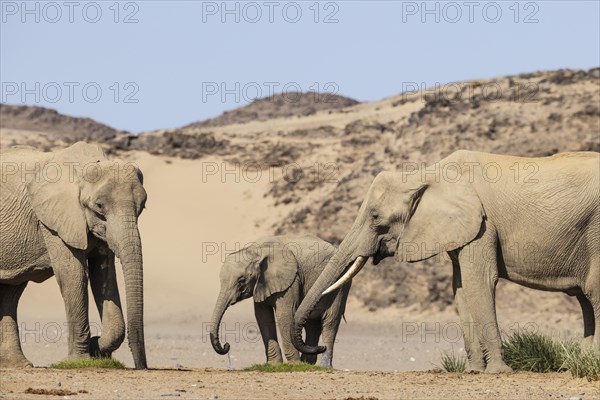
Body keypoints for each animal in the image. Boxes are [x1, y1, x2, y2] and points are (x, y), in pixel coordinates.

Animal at [0, 143, 149, 368]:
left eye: (143, 206)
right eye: (99, 206)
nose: (142, 367)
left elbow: (104, 278)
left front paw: (96, 347)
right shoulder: (53, 219)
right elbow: (74, 276)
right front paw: (80, 358)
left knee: (11, 291)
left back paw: (19, 365)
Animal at [211, 234, 352, 368]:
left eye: (241, 280)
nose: (227, 345)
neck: (257, 250)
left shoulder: (291, 280)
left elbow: (284, 314)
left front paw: (294, 364)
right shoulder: (262, 284)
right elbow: (263, 316)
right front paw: (274, 364)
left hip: (341, 285)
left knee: (330, 321)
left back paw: (324, 364)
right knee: (311, 324)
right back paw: (308, 361)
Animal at [292, 149, 600, 372]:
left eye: (376, 217)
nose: (317, 349)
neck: (426, 174)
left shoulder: (483, 225)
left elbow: (479, 283)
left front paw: (499, 372)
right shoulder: (462, 230)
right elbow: (461, 289)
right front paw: (474, 372)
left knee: (594, 293)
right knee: (586, 300)